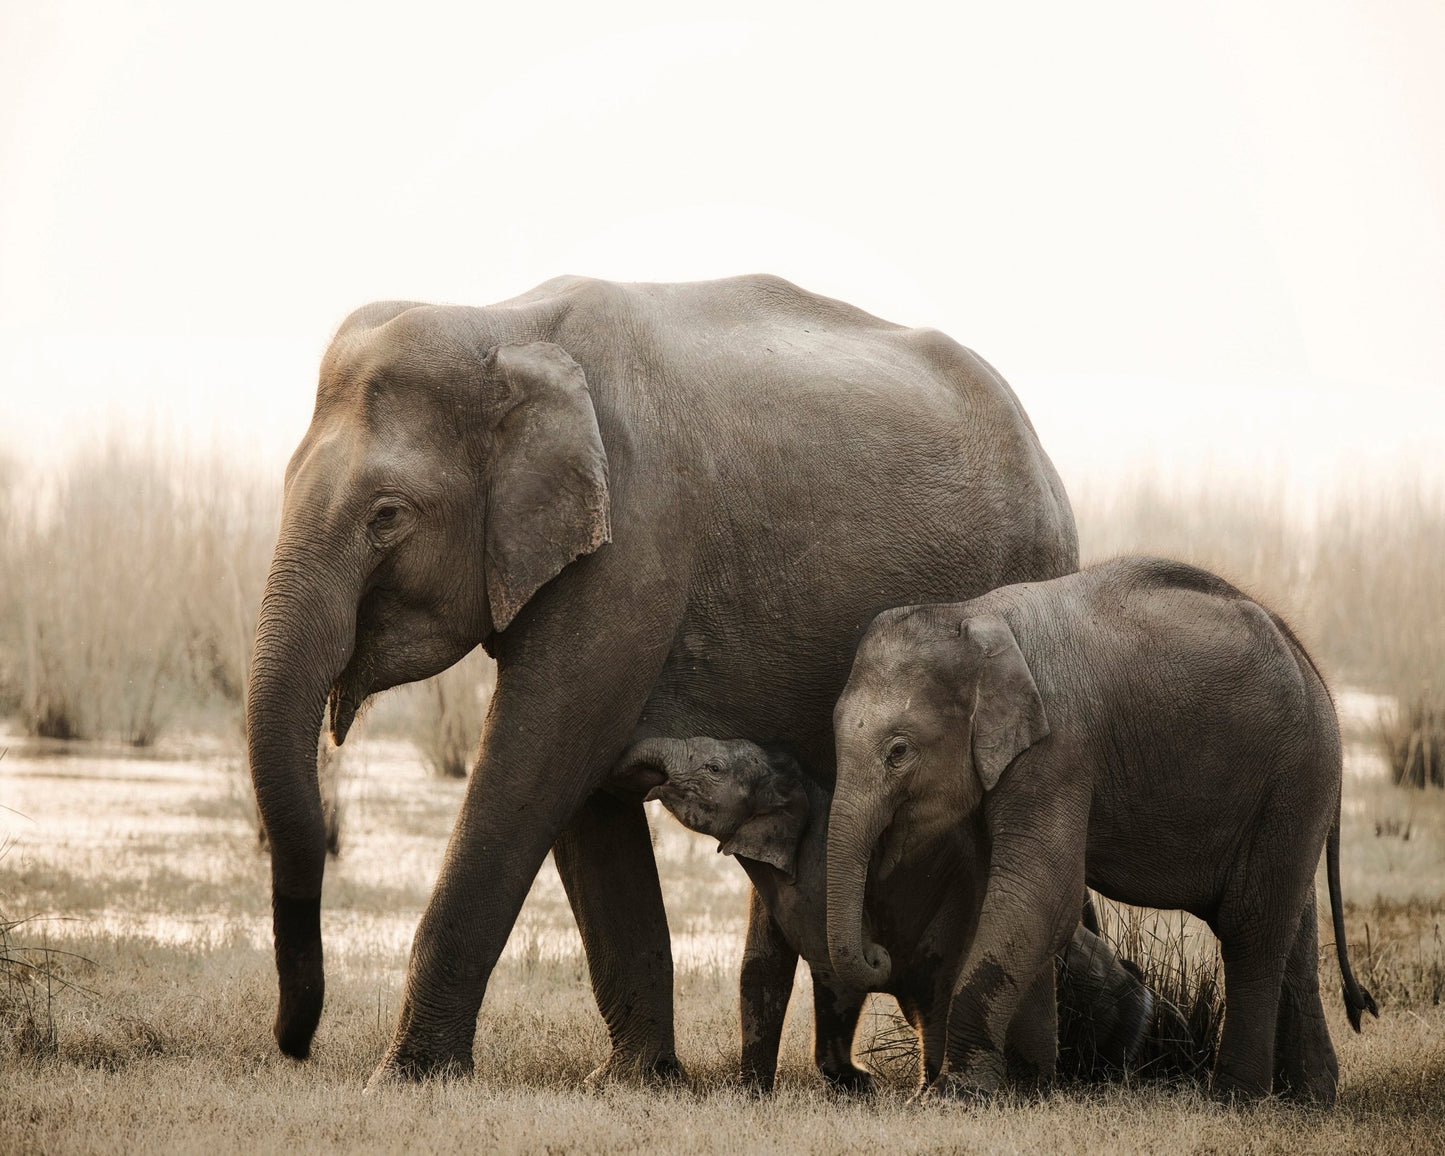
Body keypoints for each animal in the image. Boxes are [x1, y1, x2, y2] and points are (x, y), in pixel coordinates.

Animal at [244, 274, 1077, 1084]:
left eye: (387, 515)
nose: (296, 1042)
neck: (502, 325)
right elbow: (580, 794)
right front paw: (639, 1079)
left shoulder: (635, 543)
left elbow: (542, 756)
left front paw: (408, 1077)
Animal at [614, 735, 1170, 1092]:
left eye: (713, 770)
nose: (638, 782)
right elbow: (761, 969)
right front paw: (751, 1091)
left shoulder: (821, 875)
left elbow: (836, 971)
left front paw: (860, 1085)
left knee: (938, 996)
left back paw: (932, 1092)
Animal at [826, 556, 1378, 1104]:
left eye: (899, 751)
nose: (876, 952)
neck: (972, 615)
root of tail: (1312, 666)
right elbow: (1003, 896)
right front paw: (1026, 1088)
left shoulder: (1060, 750)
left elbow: (1040, 895)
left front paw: (955, 1095)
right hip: (1292, 795)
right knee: (1292, 927)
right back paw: (1308, 1097)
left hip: (1296, 775)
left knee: (1250, 926)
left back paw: (1235, 1098)